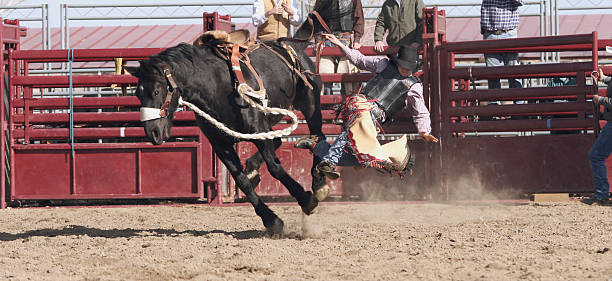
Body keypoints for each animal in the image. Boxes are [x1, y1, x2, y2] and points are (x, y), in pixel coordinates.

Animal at [126, 10, 338, 233]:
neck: (216, 86)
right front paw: (271, 221)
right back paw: (254, 170)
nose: (152, 132)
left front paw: (306, 199)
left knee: (318, 136)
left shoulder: (257, 130)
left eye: (156, 91)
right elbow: (241, 180)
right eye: (138, 94)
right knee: (279, 141)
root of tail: (290, 45)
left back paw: (319, 184)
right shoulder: (221, 144)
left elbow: (275, 167)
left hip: (310, 104)